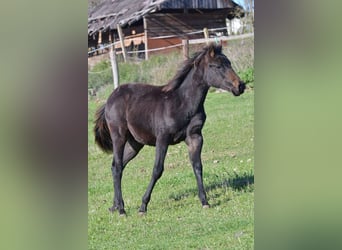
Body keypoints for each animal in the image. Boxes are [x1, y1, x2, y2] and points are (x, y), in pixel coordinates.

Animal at [93, 43, 244, 215]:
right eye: (217, 66)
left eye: (229, 64)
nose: (240, 86)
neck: (183, 103)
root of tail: (109, 99)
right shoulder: (162, 139)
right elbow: (157, 169)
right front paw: (143, 206)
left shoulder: (195, 137)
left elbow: (198, 166)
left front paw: (205, 201)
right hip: (119, 136)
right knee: (118, 166)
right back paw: (122, 210)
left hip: (135, 144)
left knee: (116, 166)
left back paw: (115, 206)